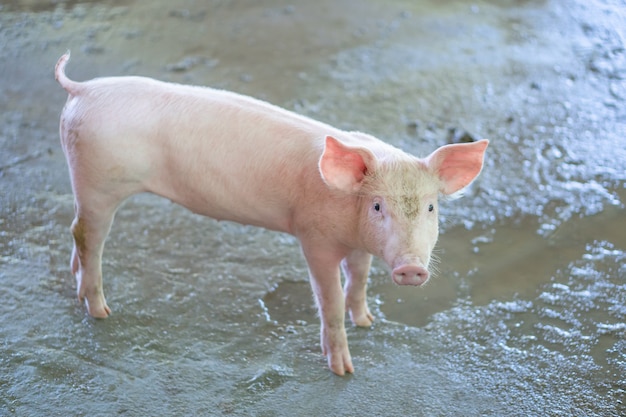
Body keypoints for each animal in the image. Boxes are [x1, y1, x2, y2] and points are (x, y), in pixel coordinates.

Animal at [54, 51, 488, 374]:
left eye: (430, 206)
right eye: (378, 205)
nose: (411, 268)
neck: (349, 221)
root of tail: (82, 90)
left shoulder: (359, 245)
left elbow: (359, 279)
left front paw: (367, 321)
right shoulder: (314, 237)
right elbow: (329, 299)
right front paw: (344, 370)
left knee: (78, 232)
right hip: (97, 182)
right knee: (86, 235)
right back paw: (101, 312)